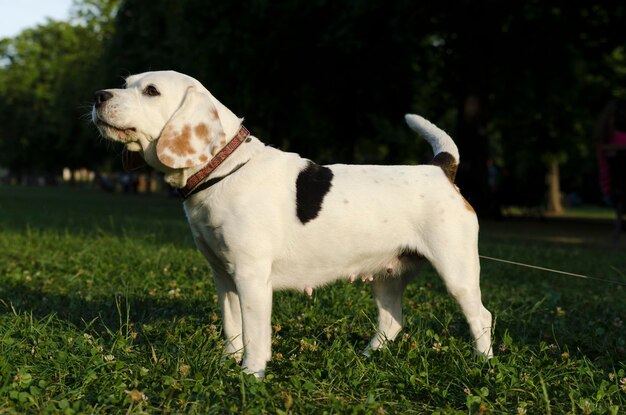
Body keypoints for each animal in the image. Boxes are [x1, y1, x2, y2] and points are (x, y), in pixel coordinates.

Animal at [92, 70, 492, 376]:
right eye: (126, 83)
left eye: (151, 90)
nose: (98, 95)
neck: (223, 168)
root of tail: (440, 169)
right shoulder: (223, 276)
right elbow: (232, 327)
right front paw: (227, 362)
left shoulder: (251, 276)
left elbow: (254, 334)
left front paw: (250, 374)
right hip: (386, 276)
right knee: (392, 321)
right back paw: (366, 358)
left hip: (457, 272)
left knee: (482, 317)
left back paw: (483, 364)